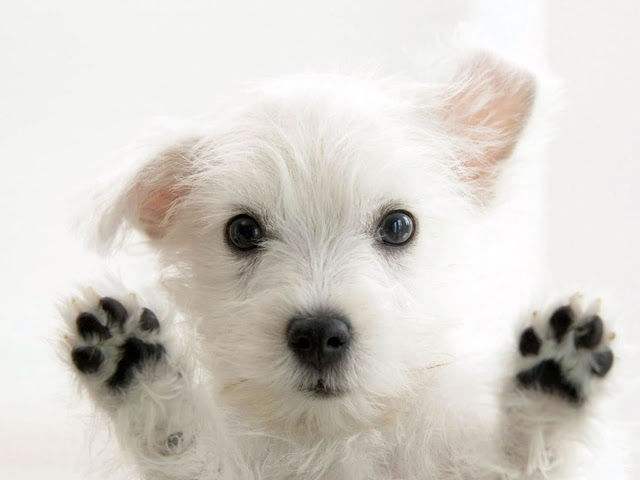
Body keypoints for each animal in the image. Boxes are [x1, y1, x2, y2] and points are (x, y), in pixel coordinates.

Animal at [61, 49, 624, 480]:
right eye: (242, 232)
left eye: (398, 226)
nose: (318, 334)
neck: (335, 440)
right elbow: (185, 447)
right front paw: (140, 369)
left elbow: (517, 461)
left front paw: (549, 385)